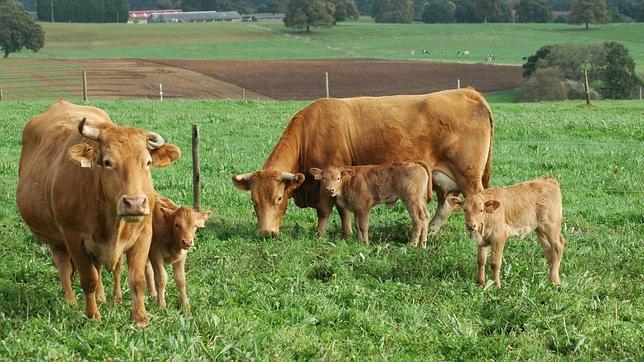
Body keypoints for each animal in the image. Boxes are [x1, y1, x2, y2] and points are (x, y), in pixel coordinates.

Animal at [15, 99, 181, 326]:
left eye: (147, 162)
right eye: (108, 162)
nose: (134, 203)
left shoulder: (144, 233)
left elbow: (137, 279)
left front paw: (140, 318)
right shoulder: (73, 238)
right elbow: (88, 279)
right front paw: (93, 315)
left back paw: (102, 297)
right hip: (56, 240)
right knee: (64, 266)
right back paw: (71, 301)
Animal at [231, 89, 494, 238]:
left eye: (278, 198)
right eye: (253, 201)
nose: (266, 233)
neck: (311, 132)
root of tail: (468, 92)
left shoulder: (327, 179)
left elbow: (325, 210)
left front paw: (320, 234)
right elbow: (343, 209)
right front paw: (347, 233)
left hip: (469, 176)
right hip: (445, 179)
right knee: (446, 205)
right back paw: (431, 231)